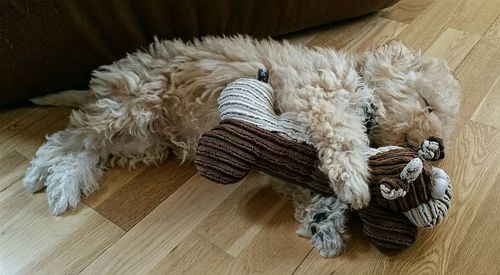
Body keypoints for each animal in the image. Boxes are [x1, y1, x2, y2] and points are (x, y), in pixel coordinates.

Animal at [25, 35, 458, 216]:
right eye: (426, 102)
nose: (437, 146)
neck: (359, 79)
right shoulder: (318, 97)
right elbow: (344, 137)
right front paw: (355, 183)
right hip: (131, 107)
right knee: (66, 139)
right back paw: (43, 177)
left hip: (141, 144)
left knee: (86, 151)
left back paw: (63, 185)